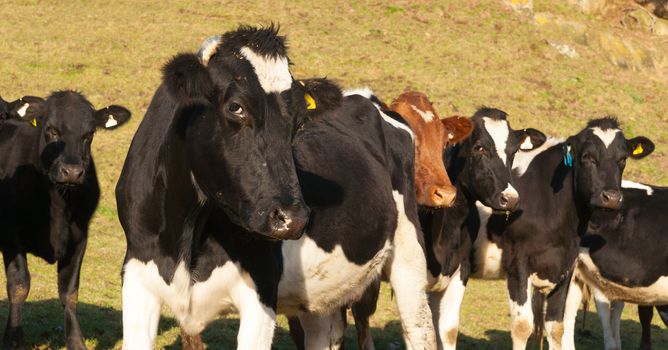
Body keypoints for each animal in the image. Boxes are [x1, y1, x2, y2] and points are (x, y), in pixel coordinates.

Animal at [0, 90, 131, 348]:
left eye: (89, 134)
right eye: (51, 129)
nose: (72, 172)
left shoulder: (79, 237)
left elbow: (69, 292)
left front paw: (76, 341)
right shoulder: (11, 235)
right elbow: (19, 285)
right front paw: (13, 339)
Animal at [118, 26, 436, 350]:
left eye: (298, 119)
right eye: (236, 107)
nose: (292, 219)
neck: (190, 233)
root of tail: (366, 97)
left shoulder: (261, 291)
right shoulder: (137, 278)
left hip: (409, 256)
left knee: (419, 328)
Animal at [350, 107, 548, 350]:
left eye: (513, 151)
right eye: (479, 147)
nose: (510, 199)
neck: (447, 226)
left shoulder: (459, 270)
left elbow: (447, 330)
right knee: (361, 315)